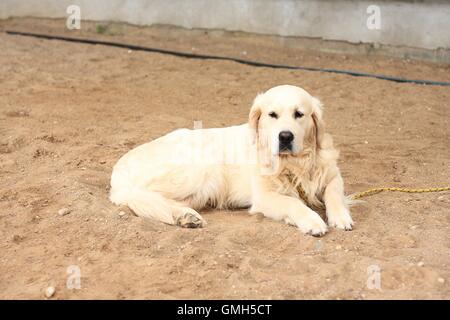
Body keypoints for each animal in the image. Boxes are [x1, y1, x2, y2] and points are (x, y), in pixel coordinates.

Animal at [110, 84, 354, 235]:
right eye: (272, 115)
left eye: (299, 114)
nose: (285, 136)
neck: (295, 164)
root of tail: (119, 169)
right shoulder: (264, 197)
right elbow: (293, 202)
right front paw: (313, 221)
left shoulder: (333, 176)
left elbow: (333, 192)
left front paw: (341, 217)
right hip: (200, 169)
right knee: (146, 197)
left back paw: (187, 217)